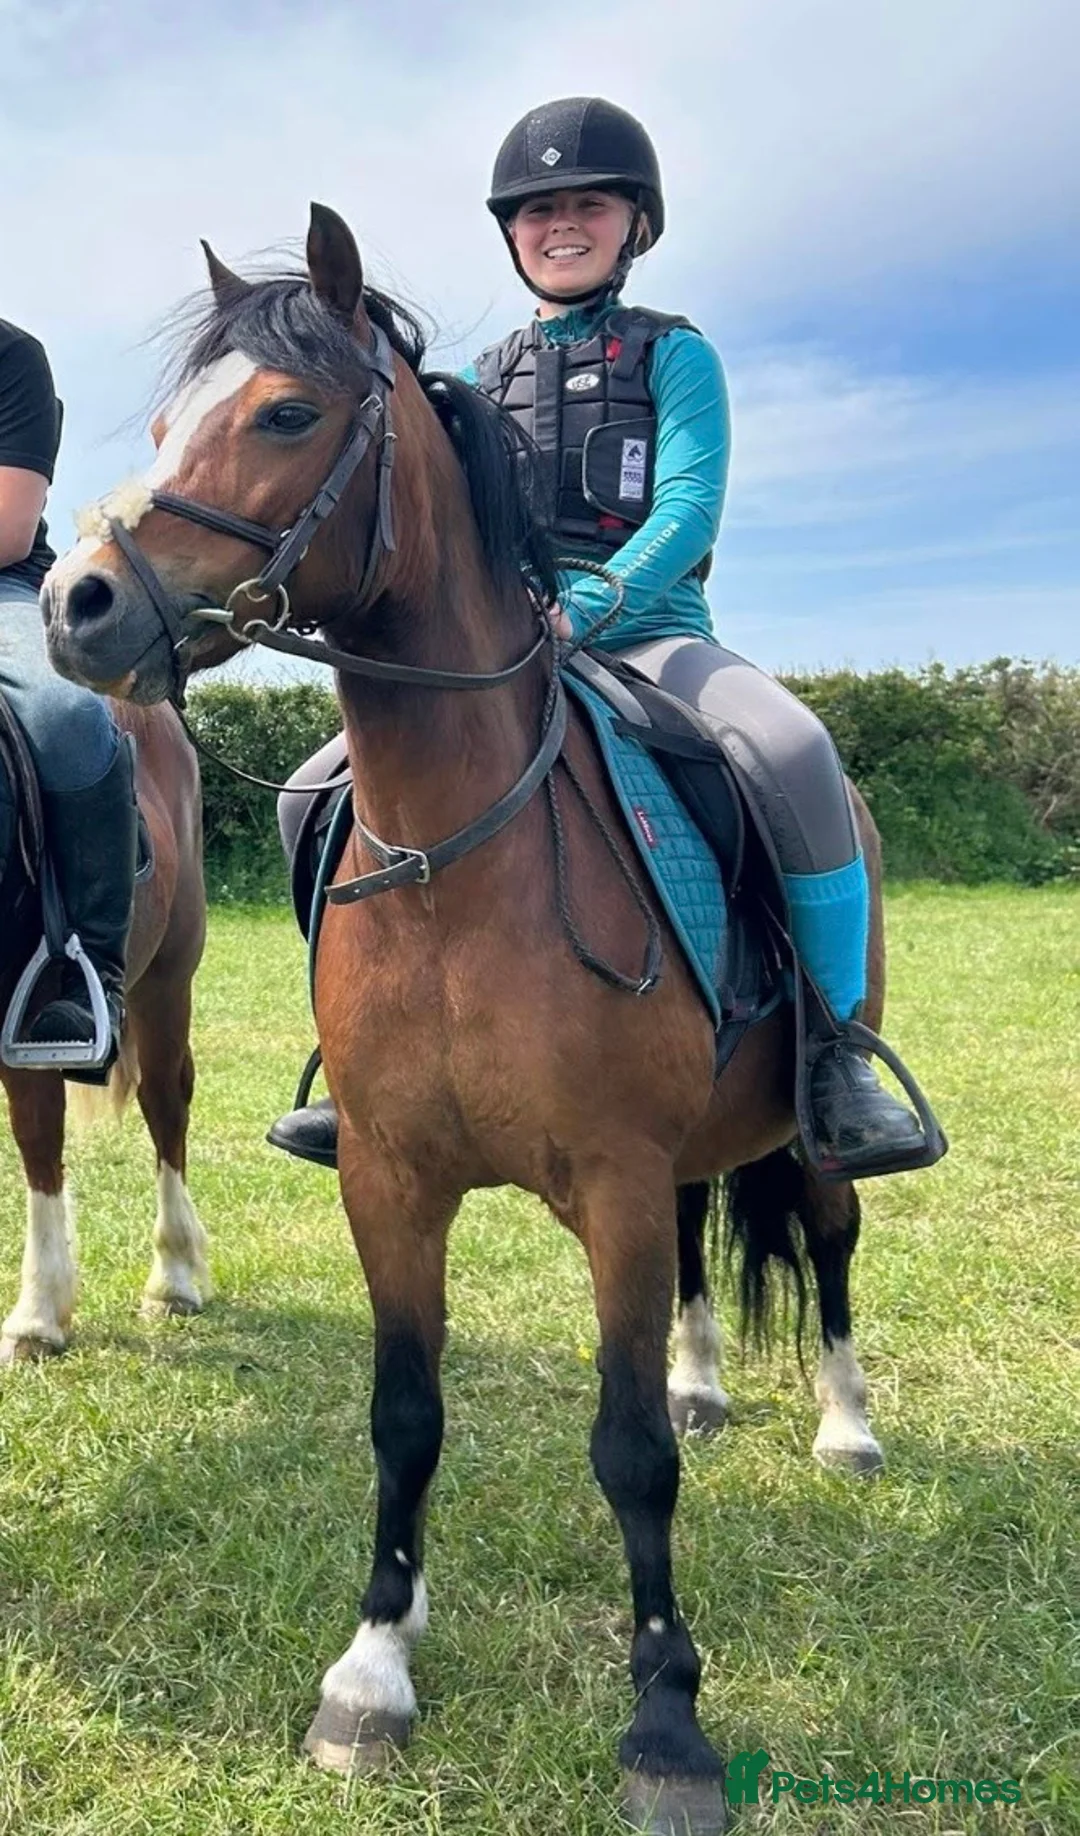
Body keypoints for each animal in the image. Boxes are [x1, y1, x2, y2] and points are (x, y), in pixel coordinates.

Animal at [40, 203, 891, 1834]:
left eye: (286, 413)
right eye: (170, 424)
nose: (75, 604)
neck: (459, 853)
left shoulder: (611, 1181)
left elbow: (626, 1454)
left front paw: (665, 1715)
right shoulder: (391, 1179)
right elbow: (406, 1416)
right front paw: (376, 1662)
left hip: (805, 1127)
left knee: (823, 1244)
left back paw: (845, 1425)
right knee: (707, 1244)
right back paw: (707, 1381)